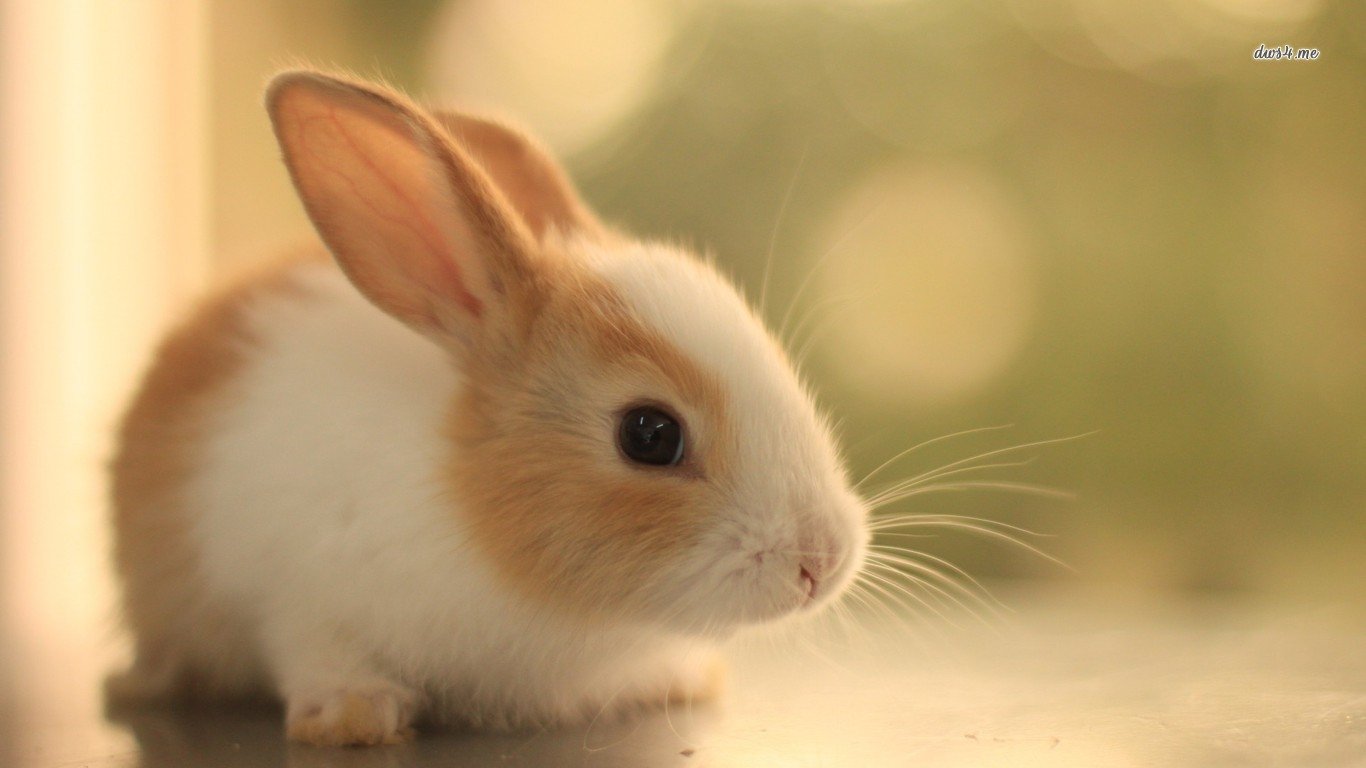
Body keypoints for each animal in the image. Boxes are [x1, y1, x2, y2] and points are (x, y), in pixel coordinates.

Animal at [112, 70, 868, 743]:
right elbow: (318, 651)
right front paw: (354, 716)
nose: (821, 561)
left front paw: (680, 679)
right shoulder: (299, 597)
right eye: (650, 434)